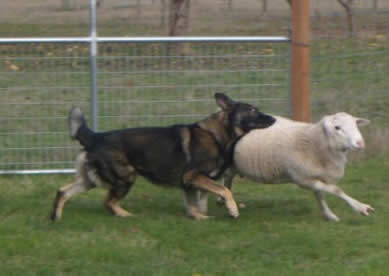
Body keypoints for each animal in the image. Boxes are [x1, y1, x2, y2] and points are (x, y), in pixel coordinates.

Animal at [51, 94, 274, 221]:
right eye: (252, 110)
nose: (272, 118)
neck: (218, 135)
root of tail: (95, 137)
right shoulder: (194, 177)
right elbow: (225, 190)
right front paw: (232, 210)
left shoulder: (193, 184)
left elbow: (196, 205)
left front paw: (200, 217)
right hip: (125, 176)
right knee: (108, 202)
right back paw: (125, 215)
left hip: (91, 180)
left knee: (63, 191)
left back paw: (56, 217)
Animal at [221, 112, 376, 222]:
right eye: (337, 127)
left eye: (355, 125)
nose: (360, 143)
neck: (315, 142)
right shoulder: (302, 179)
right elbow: (335, 190)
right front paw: (361, 207)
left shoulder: (316, 175)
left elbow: (320, 194)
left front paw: (329, 215)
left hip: (233, 166)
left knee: (227, 180)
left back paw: (224, 201)